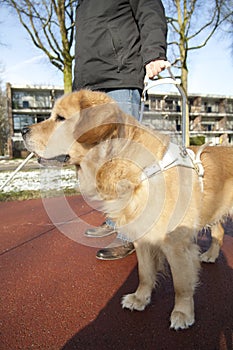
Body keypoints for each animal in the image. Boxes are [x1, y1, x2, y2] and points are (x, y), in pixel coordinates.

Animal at [21, 89, 233, 330]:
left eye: (60, 118)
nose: (22, 130)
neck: (135, 171)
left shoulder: (177, 244)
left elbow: (181, 283)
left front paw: (182, 312)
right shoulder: (141, 237)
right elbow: (145, 273)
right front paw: (140, 298)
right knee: (218, 232)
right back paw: (211, 255)